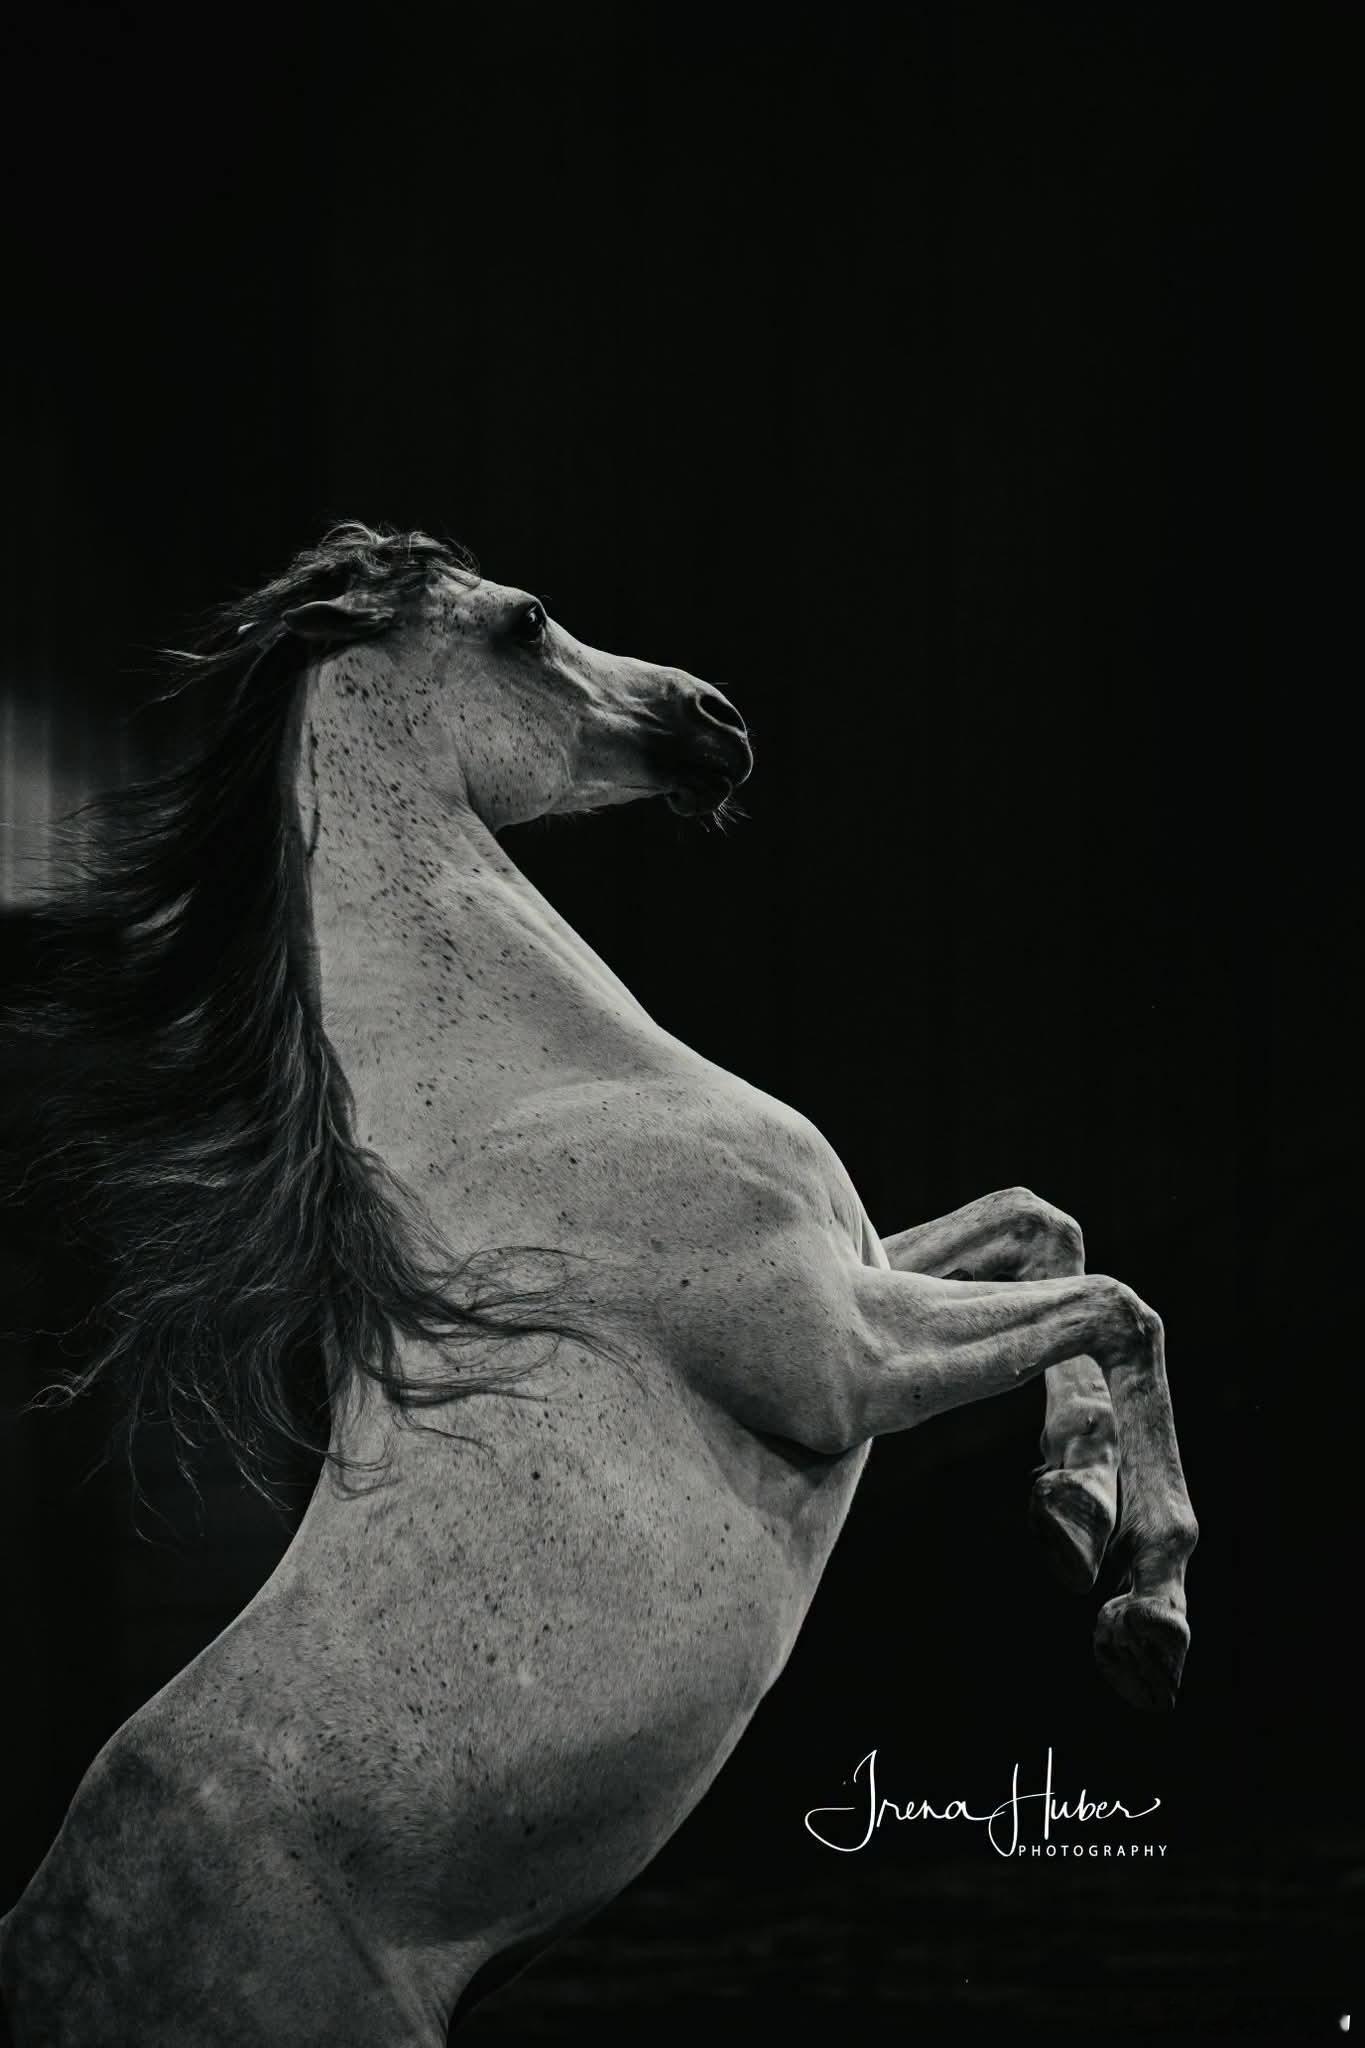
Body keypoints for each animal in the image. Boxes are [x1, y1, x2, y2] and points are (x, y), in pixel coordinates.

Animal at [0, 523, 1197, 2044]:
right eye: (525, 622)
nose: (719, 723)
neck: (538, 1086)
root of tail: (46, 1944)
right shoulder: (846, 1361)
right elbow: (1120, 1303)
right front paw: (1146, 1610)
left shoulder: (863, 1267)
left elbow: (1049, 1228)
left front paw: (1071, 1507)